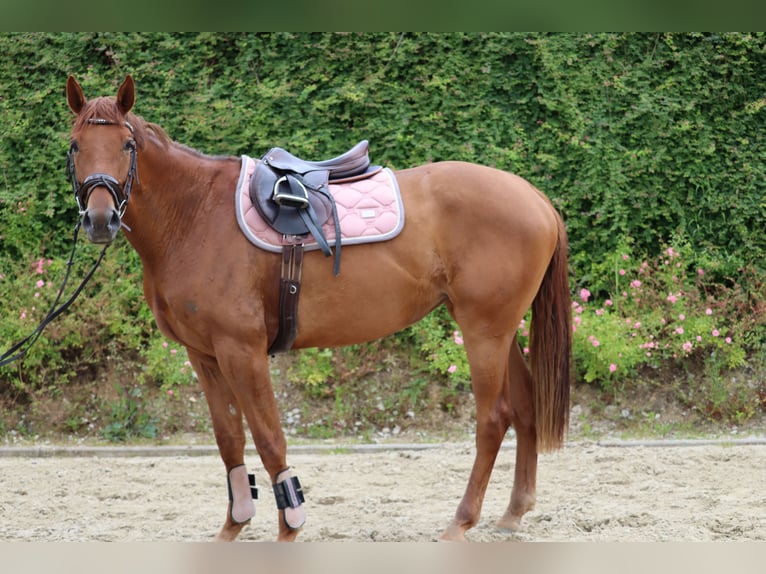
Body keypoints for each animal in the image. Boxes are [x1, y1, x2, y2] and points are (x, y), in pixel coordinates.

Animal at [64, 74, 568, 544]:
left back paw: (461, 521)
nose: (100, 220)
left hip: (483, 332)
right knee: (525, 407)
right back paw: (513, 513)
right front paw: (233, 527)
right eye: (75, 145)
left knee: (493, 418)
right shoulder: (203, 354)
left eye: (127, 144)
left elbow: (269, 438)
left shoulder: (241, 351)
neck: (195, 213)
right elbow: (229, 439)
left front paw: (289, 528)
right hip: (503, 332)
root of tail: (535, 197)